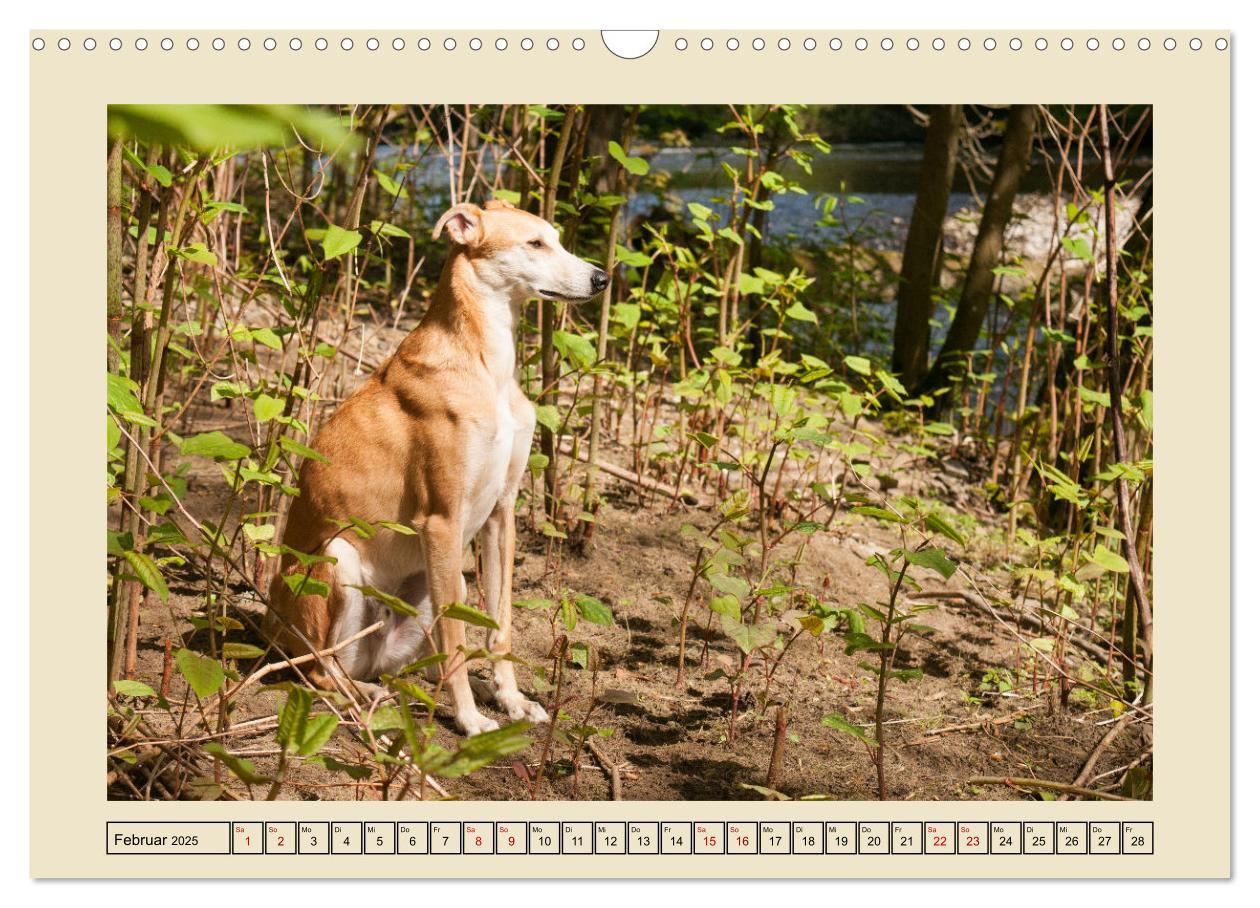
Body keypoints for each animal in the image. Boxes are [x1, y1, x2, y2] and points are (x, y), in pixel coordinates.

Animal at [263, 201, 607, 735]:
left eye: (556, 238)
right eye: (534, 244)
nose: (601, 278)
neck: (487, 366)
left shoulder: (501, 513)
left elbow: (499, 626)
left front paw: (510, 700)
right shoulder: (442, 520)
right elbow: (455, 641)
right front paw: (469, 721)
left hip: (438, 581)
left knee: (414, 662)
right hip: (337, 561)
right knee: (321, 670)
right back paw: (365, 695)